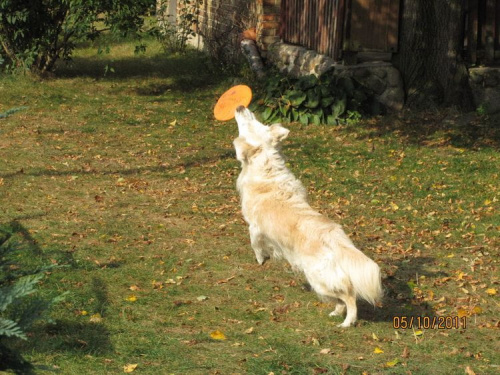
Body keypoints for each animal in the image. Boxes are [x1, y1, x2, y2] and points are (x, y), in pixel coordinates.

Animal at [234, 106, 382, 328]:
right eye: (257, 120)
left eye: (251, 123)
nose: (240, 107)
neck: (266, 167)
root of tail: (334, 236)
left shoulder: (254, 226)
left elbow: (255, 244)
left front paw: (261, 259)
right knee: (341, 298)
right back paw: (336, 313)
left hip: (318, 278)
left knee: (349, 296)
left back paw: (347, 322)